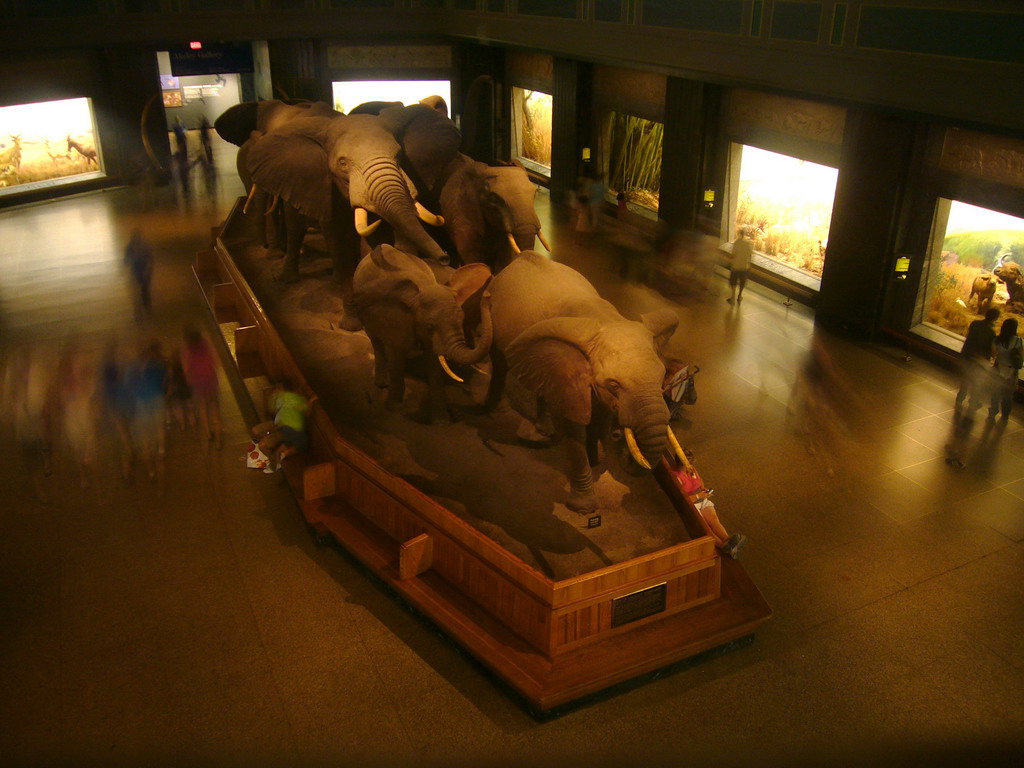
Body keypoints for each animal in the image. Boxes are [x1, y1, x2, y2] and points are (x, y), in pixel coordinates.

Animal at [352, 243, 495, 423]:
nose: (488, 294)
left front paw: (442, 421)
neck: (422, 287)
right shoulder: (394, 318)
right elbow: (396, 357)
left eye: (461, 318)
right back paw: (381, 384)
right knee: (376, 340)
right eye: (429, 326)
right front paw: (395, 409)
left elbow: (434, 365)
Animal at [485, 252, 679, 518]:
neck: (607, 319)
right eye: (614, 385)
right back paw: (497, 411)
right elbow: (574, 427)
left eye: (662, 378)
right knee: (500, 361)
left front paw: (597, 456)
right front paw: (584, 508)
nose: (620, 437)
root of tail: (521, 258)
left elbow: (601, 414)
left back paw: (543, 431)